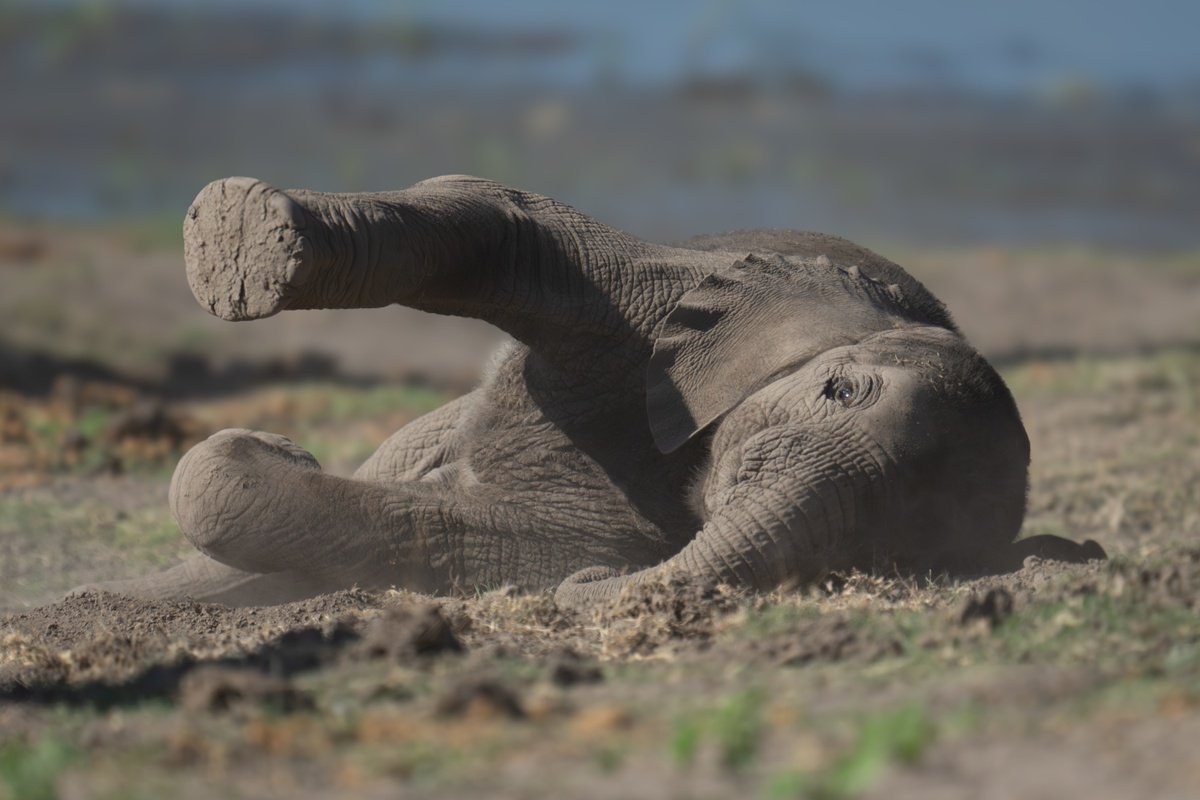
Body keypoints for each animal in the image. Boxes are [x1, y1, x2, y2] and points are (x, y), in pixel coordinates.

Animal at [83, 175, 1104, 608]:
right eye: (840, 388)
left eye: (891, 550)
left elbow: (452, 536)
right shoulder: (661, 304)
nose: (590, 591)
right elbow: (497, 214)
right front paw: (246, 243)